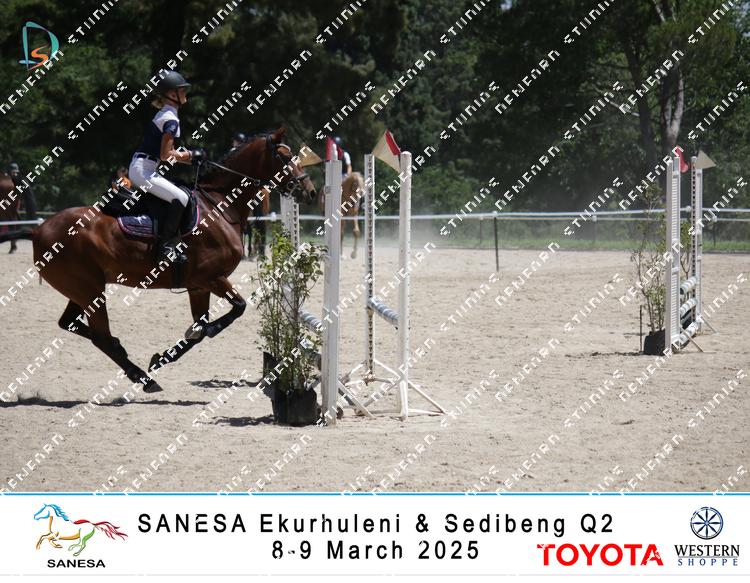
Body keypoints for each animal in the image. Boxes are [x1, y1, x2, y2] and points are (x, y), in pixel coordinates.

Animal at [0, 129, 316, 394]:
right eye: (285, 156)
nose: (310, 191)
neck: (219, 206)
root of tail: (39, 229)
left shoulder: (198, 287)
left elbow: (200, 328)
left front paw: (163, 356)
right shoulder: (210, 278)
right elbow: (235, 310)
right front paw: (197, 337)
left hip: (81, 289)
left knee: (71, 325)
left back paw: (130, 359)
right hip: (90, 290)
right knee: (100, 336)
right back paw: (143, 378)